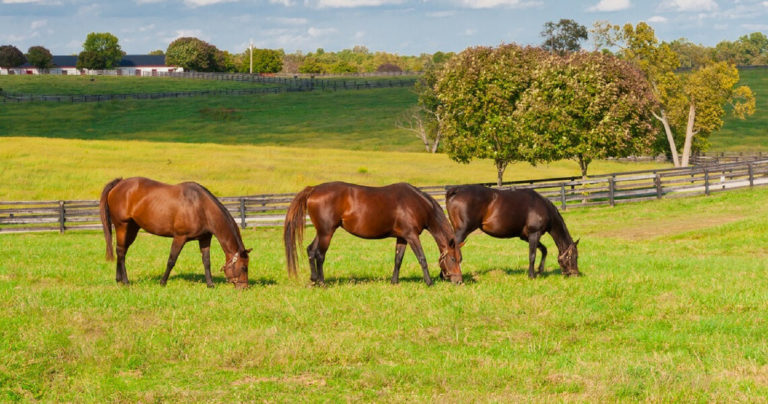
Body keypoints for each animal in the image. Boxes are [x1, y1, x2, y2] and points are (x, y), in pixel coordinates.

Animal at [99, 177, 252, 288]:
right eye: (244, 267)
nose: (244, 287)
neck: (201, 206)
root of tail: (119, 183)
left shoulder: (204, 239)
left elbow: (206, 261)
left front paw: (210, 284)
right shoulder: (179, 237)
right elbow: (171, 260)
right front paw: (162, 282)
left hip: (132, 228)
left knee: (122, 251)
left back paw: (118, 279)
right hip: (122, 226)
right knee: (120, 251)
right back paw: (125, 281)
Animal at [282, 181, 462, 286]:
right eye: (453, 259)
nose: (458, 281)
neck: (416, 204)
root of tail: (313, 189)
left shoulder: (402, 237)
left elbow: (398, 259)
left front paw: (394, 282)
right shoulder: (412, 236)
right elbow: (422, 258)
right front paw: (429, 282)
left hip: (321, 232)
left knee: (311, 250)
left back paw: (313, 279)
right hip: (327, 232)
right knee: (319, 254)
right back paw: (321, 282)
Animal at [444, 185, 584, 278]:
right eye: (574, 256)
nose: (575, 274)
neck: (544, 207)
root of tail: (455, 191)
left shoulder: (526, 236)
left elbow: (544, 250)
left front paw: (540, 270)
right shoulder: (534, 234)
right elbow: (532, 255)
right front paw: (532, 275)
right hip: (462, 232)